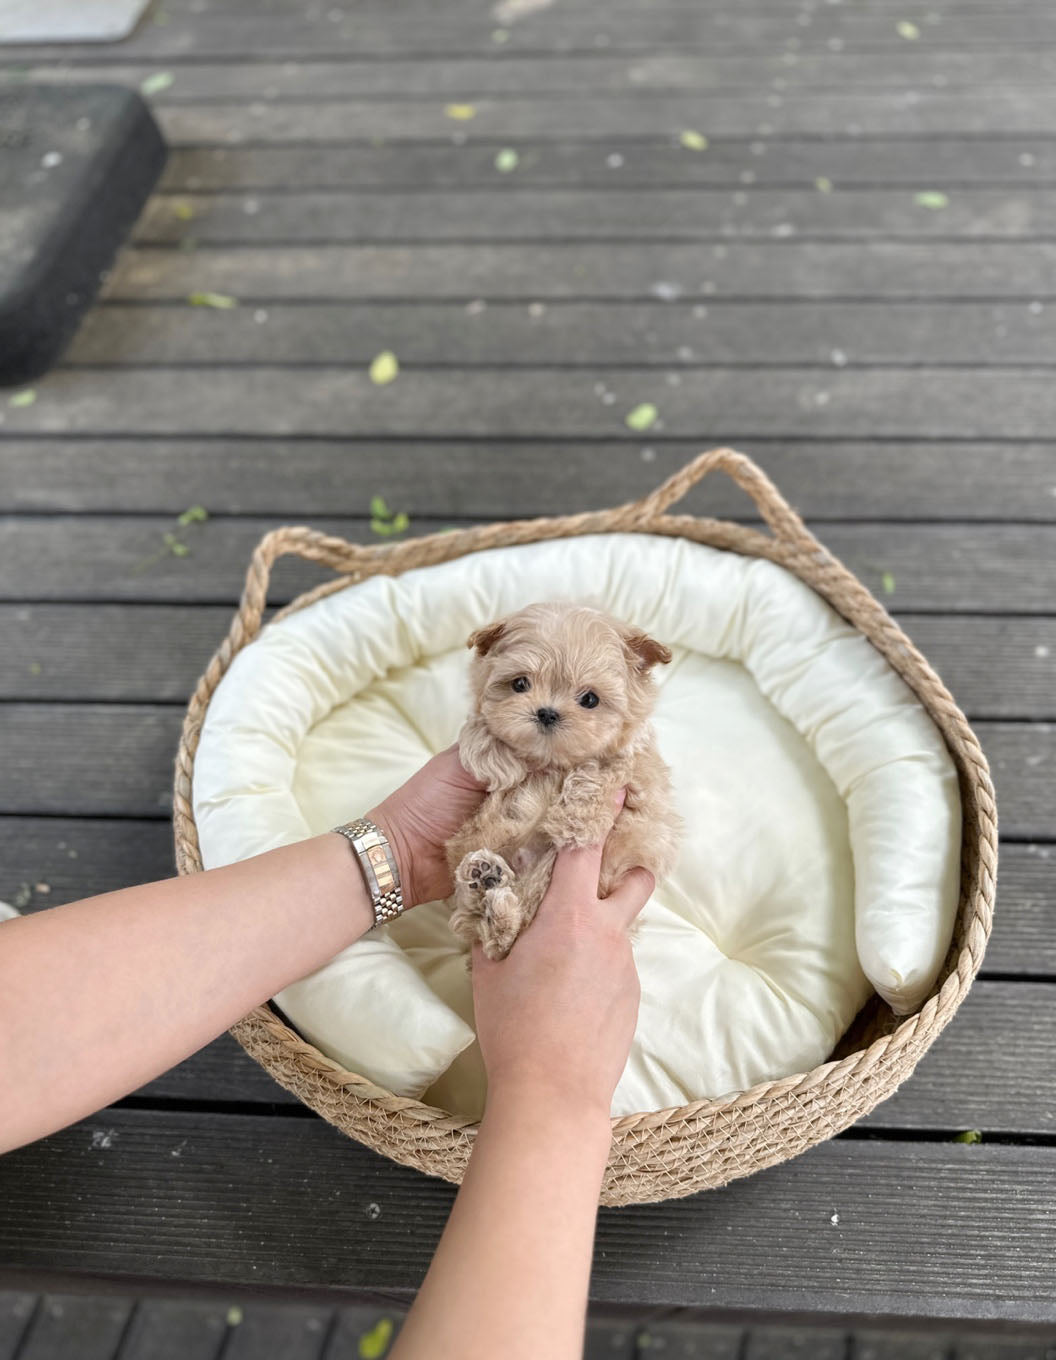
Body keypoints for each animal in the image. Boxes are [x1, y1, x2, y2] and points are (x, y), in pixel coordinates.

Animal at [440, 601, 680, 962]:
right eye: (520, 684)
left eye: (590, 700)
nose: (547, 713)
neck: (552, 761)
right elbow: (479, 726)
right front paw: (492, 756)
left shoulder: (642, 789)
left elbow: (613, 769)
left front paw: (574, 819)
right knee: (482, 926)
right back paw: (485, 882)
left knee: (502, 931)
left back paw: (493, 895)